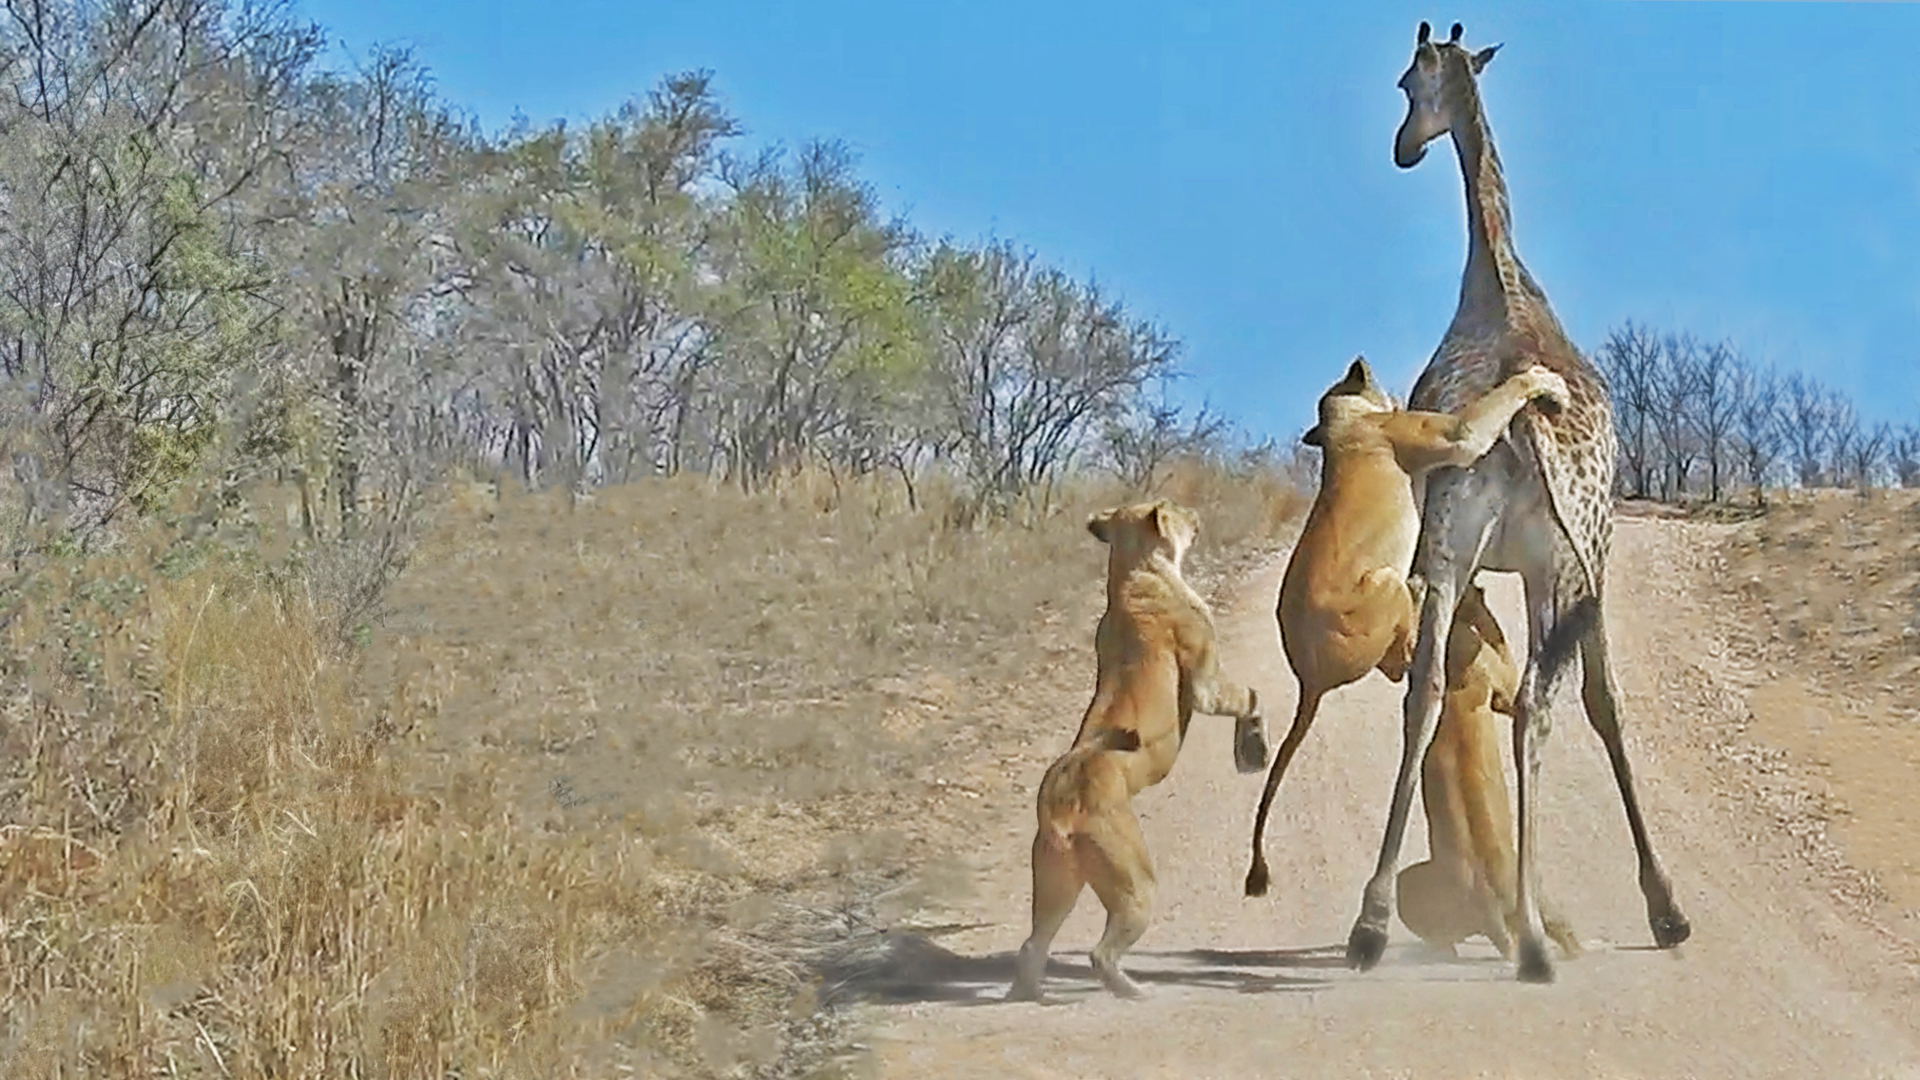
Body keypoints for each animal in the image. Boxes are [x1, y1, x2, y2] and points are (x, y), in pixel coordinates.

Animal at [1013, 495, 1267, 999]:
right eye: (1177, 508)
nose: (1196, 515)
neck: (1135, 572)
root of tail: (1059, 810)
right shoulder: (1205, 683)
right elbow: (1247, 695)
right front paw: (1252, 748)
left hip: (1056, 884)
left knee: (1034, 944)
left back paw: (1027, 995)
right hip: (1136, 883)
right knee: (1099, 953)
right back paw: (1134, 992)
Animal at [1244, 353, 1559, 899]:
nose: (1361, 363)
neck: (1345, 424)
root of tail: (1309, 679)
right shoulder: (1456, 436)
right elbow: (1499, 400)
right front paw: (1540, 380)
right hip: (1383, 581)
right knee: (1404, 655)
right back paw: (1419, 595)